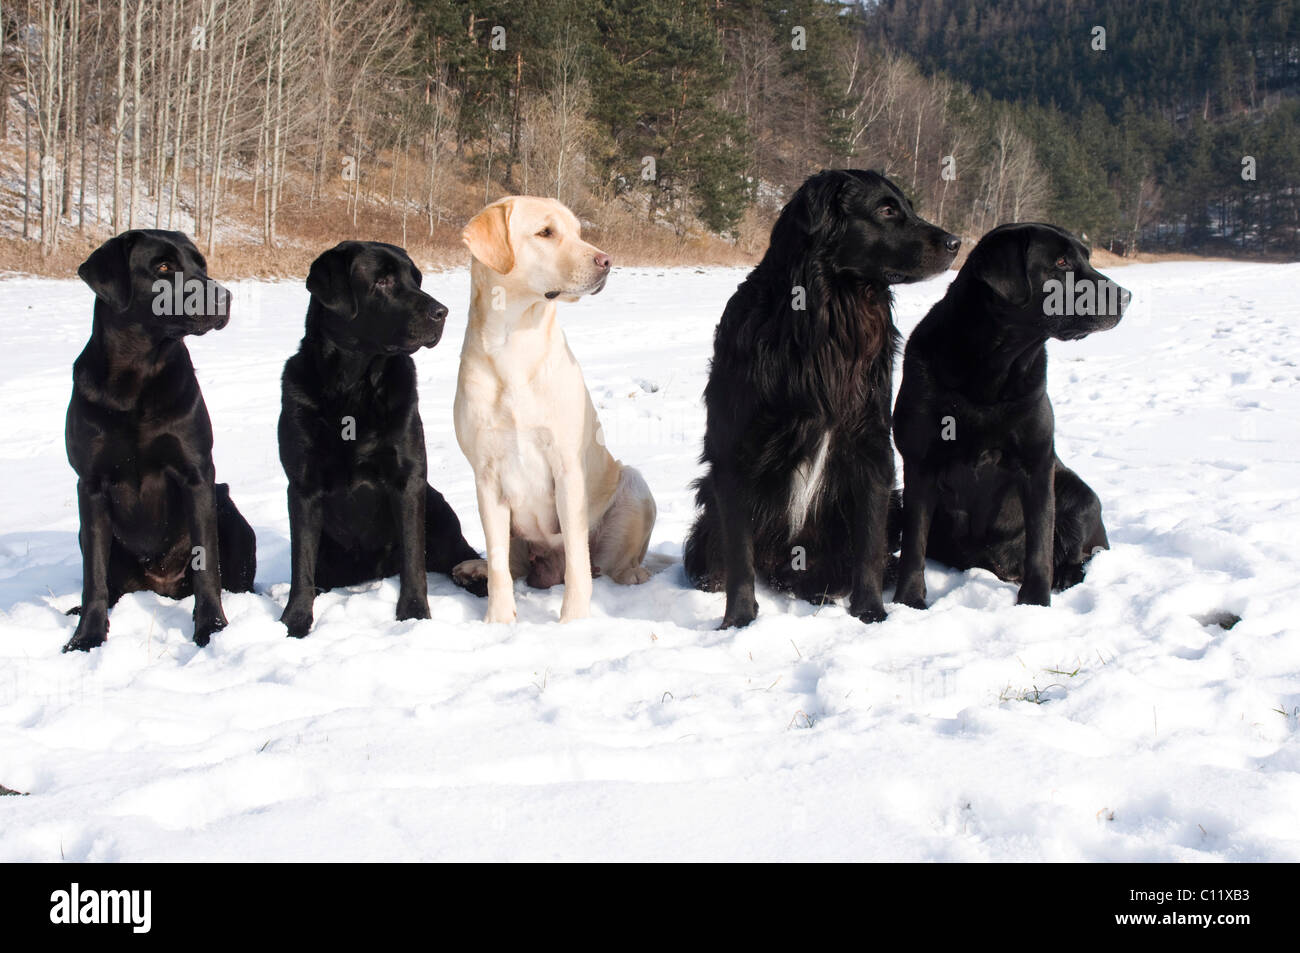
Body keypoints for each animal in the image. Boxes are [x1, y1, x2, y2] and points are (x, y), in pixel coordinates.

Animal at [64, 226, 257, 650]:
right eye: (164, 267)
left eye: (201, 264)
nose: (225, 297)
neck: (136, 377)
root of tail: (160, 588)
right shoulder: (90, 484)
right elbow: (93, 577)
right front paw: (86, 636)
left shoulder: (197, 473)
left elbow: (207, 568)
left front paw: (211, 628)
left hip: (227, 507)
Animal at [686, 169, 961, 631]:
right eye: (887, 210)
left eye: (908, 206)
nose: (956, 242)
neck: (829, 316)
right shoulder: (733, 454)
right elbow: (740, 553)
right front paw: (739, 620)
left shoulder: (871, 446)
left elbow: (869, 544)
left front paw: (870, 611)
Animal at [894, 226, 1128, 605]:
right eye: (1061, 262)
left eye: (1087, 257)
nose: (1126, 297)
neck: (993, 368)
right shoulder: (919, 463)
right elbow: (914, 544)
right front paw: (909, 600)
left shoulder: (1037, 464)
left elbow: (1040, 541)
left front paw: (1035, 602)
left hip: (1080, 496)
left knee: (1076, 552)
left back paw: (1066, 575)